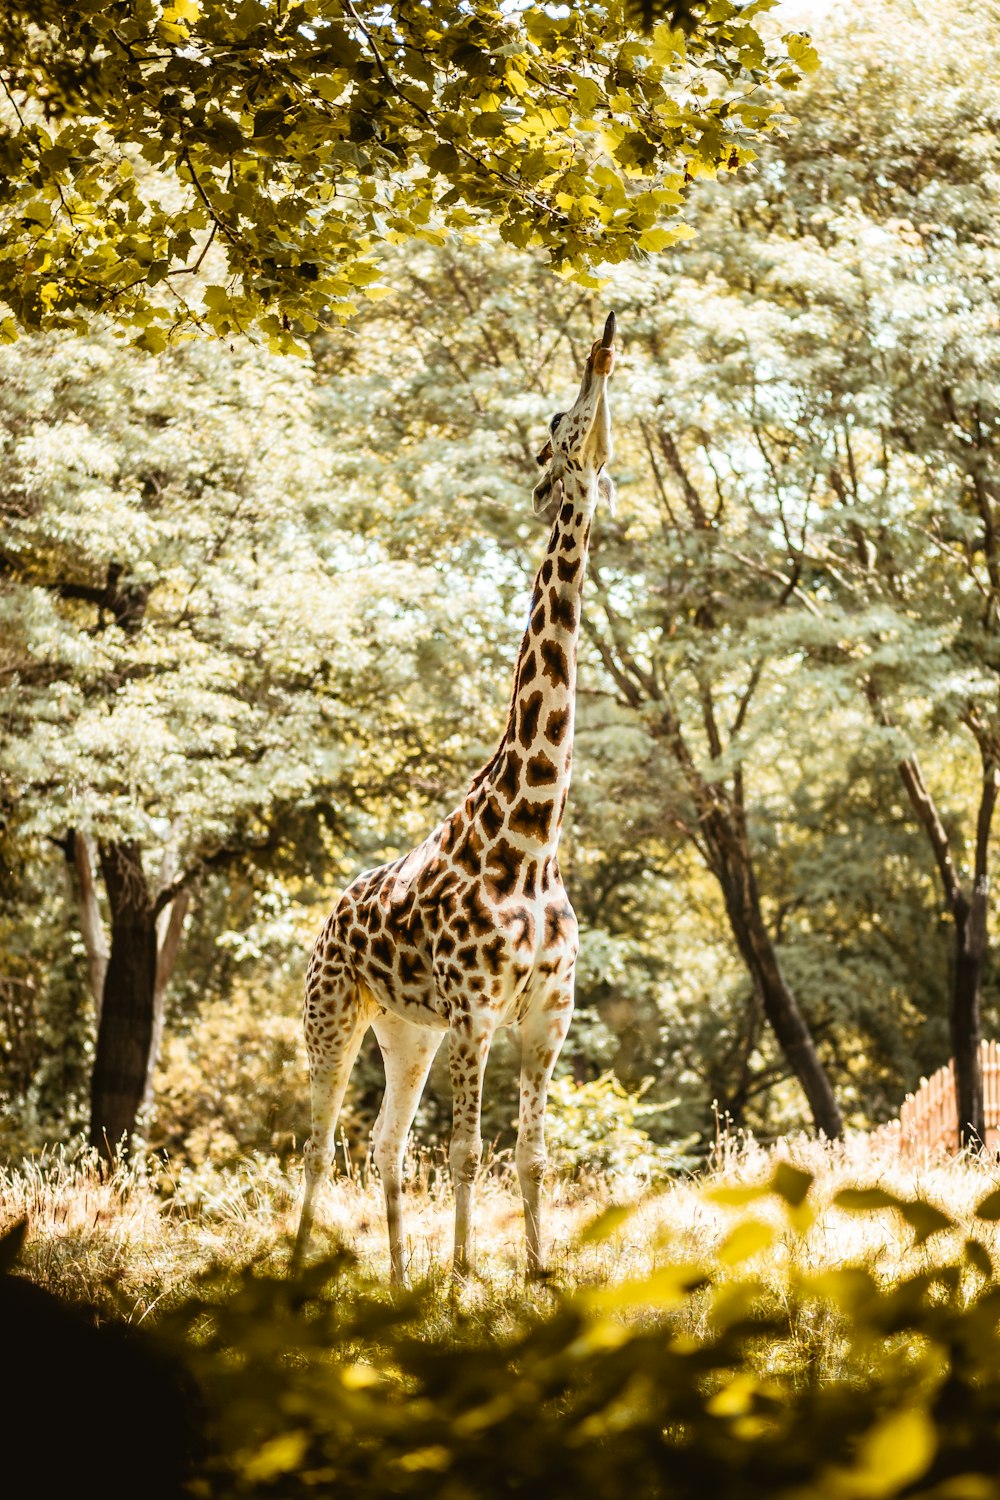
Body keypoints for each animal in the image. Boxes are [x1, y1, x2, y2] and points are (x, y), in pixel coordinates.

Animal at [289, 310, 617, 1284]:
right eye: (561, 423)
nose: (605, 343)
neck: (533, 835)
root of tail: (330, 912)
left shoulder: (546, 1015)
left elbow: (532, 1155)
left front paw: (537, 1273)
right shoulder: (477, 1011)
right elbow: (472, 1153)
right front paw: (470, 1278)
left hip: (407, 1033)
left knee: (384, 1145)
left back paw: (399, 1279)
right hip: (333, 1014)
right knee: (319, 1145)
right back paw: (291, 1272)